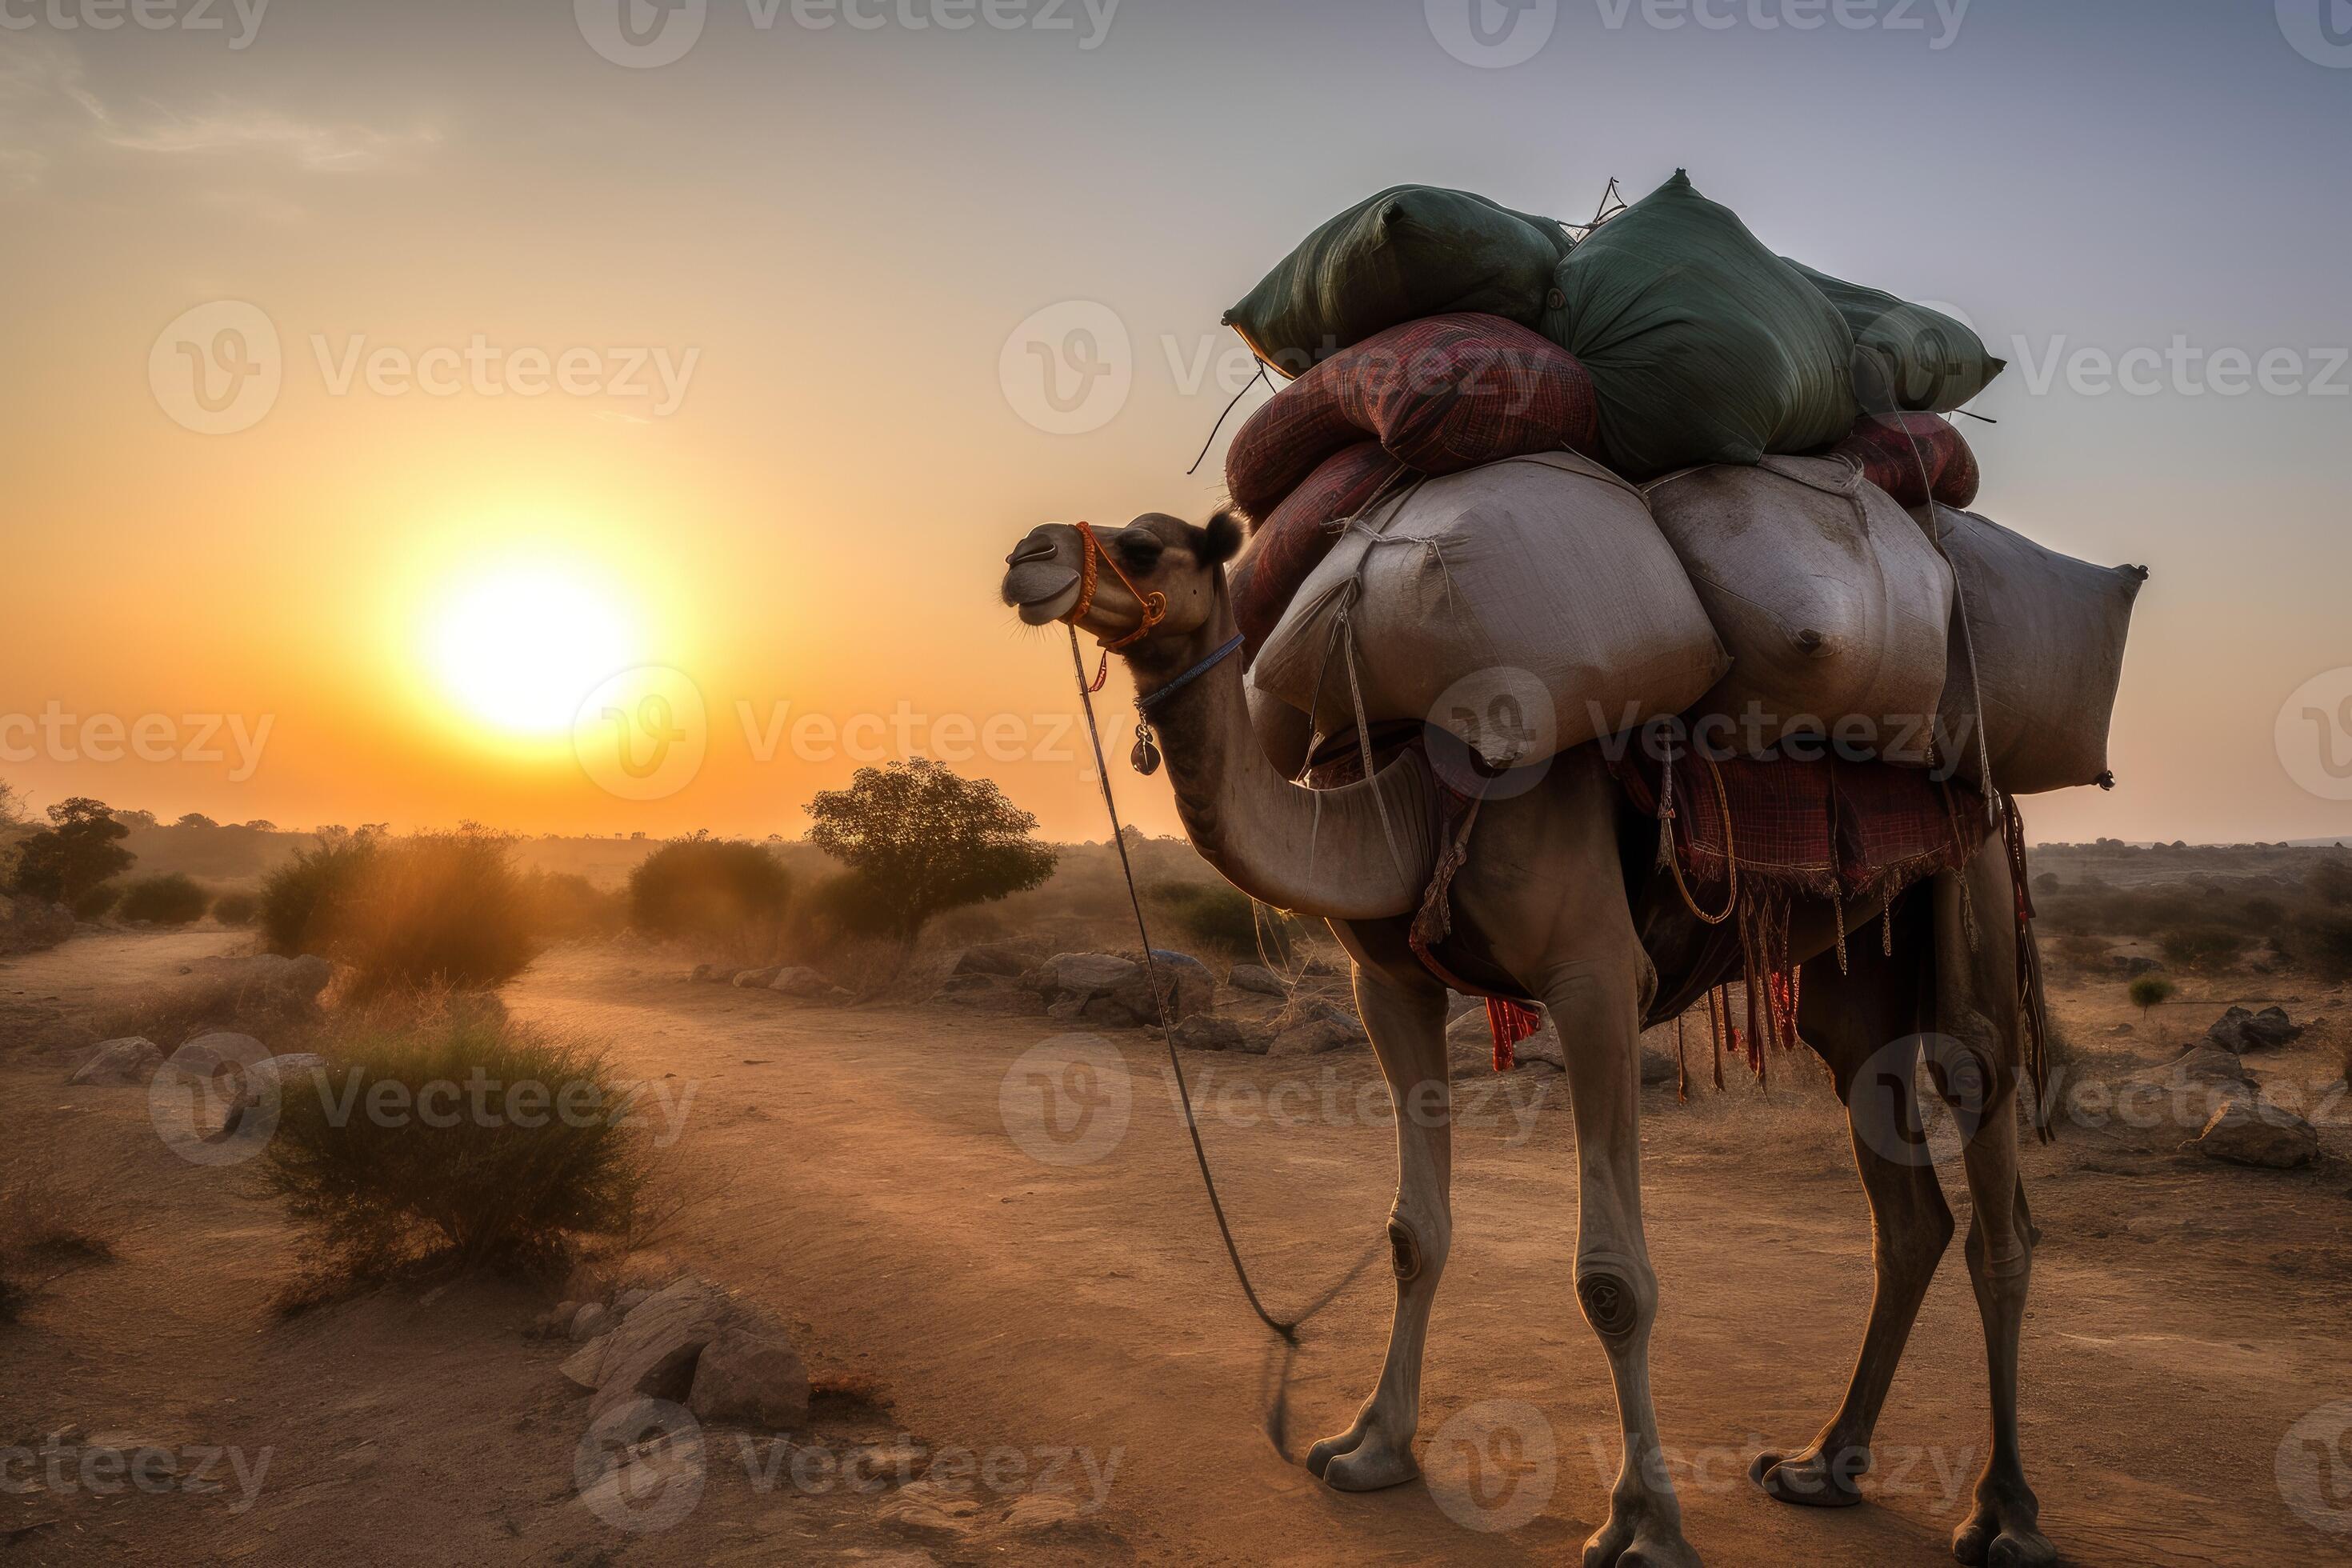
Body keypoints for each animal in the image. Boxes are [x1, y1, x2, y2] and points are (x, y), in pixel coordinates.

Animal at [1000, 510, 2056, 1568]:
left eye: (1146, 545)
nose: (1027, 556)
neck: (1416, 804)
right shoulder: (1390, 986)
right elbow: (1411, 1233)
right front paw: (1369, 1445)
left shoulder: (1596, 979)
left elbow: (1615, 1281)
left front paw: (1643, 1524)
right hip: (1856, 983)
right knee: (1905, 1205)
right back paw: (1823, 1465)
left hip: (1969, 888)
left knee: (1991, 1159)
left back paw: (2002, 1512)